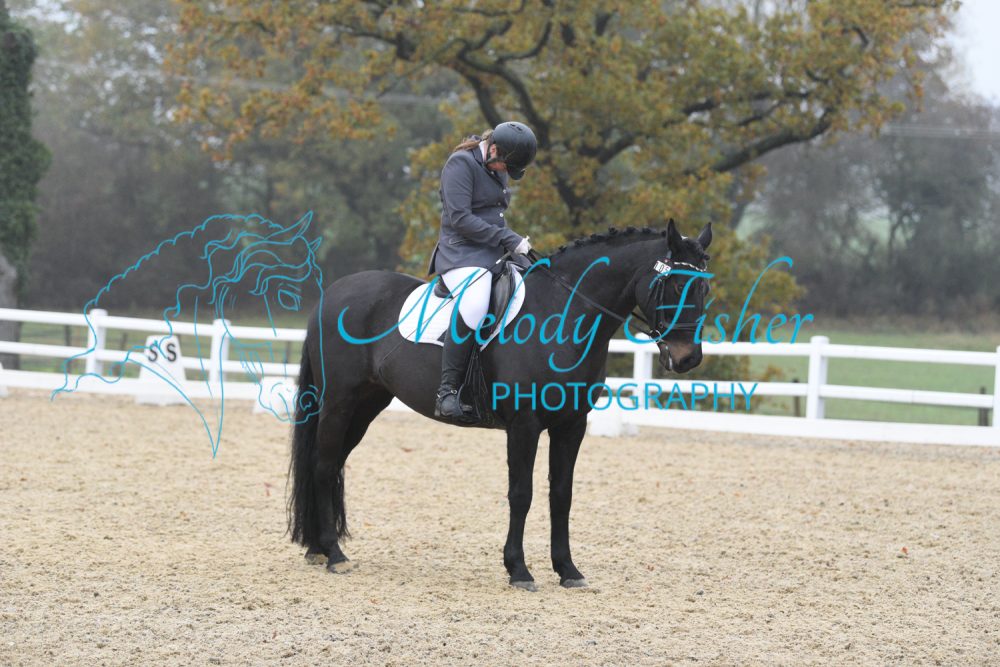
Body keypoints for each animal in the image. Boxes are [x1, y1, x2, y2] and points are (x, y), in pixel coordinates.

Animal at [288, 219, 713, 589]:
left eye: (703, 291)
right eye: (674, 284)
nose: (687, 358)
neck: (562, 312)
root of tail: (333, 293)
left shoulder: (572, 425)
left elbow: (561, 495)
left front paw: (568, 570)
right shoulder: (524, 425)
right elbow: (521, 494)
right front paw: (519, 570)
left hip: (367, 404)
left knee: (333, 464)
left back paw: (317, 548)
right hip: (339, 402)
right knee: (324, 466)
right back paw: (334, 555)